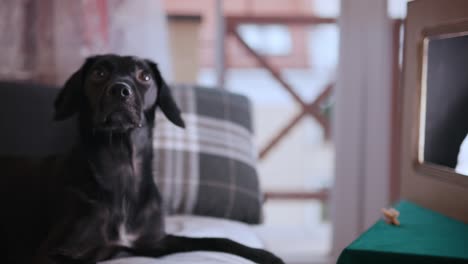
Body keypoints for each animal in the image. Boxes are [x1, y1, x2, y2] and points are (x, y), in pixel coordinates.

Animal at [0, 54, 286, 262]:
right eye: (99, 73)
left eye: (144, 75)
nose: (120, 91)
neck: (121, 169)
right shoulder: (52, 251)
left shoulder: (155, 241)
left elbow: (216, 240)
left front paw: (266, 255)